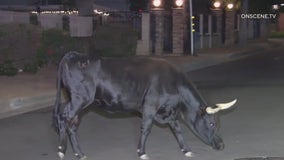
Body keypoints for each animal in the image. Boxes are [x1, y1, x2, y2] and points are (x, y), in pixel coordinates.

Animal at [52, 51, 236, 160]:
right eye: (211, 123)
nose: (221, 145)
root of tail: (75, 55)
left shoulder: (168, 111)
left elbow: (177, 129)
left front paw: (186, 149)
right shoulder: (150, 106)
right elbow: (146, 129)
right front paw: (142, 153)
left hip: (76, 100)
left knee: (68, 122)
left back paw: (73, 152)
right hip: (81, 99)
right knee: (65, 118)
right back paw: (66, 150)